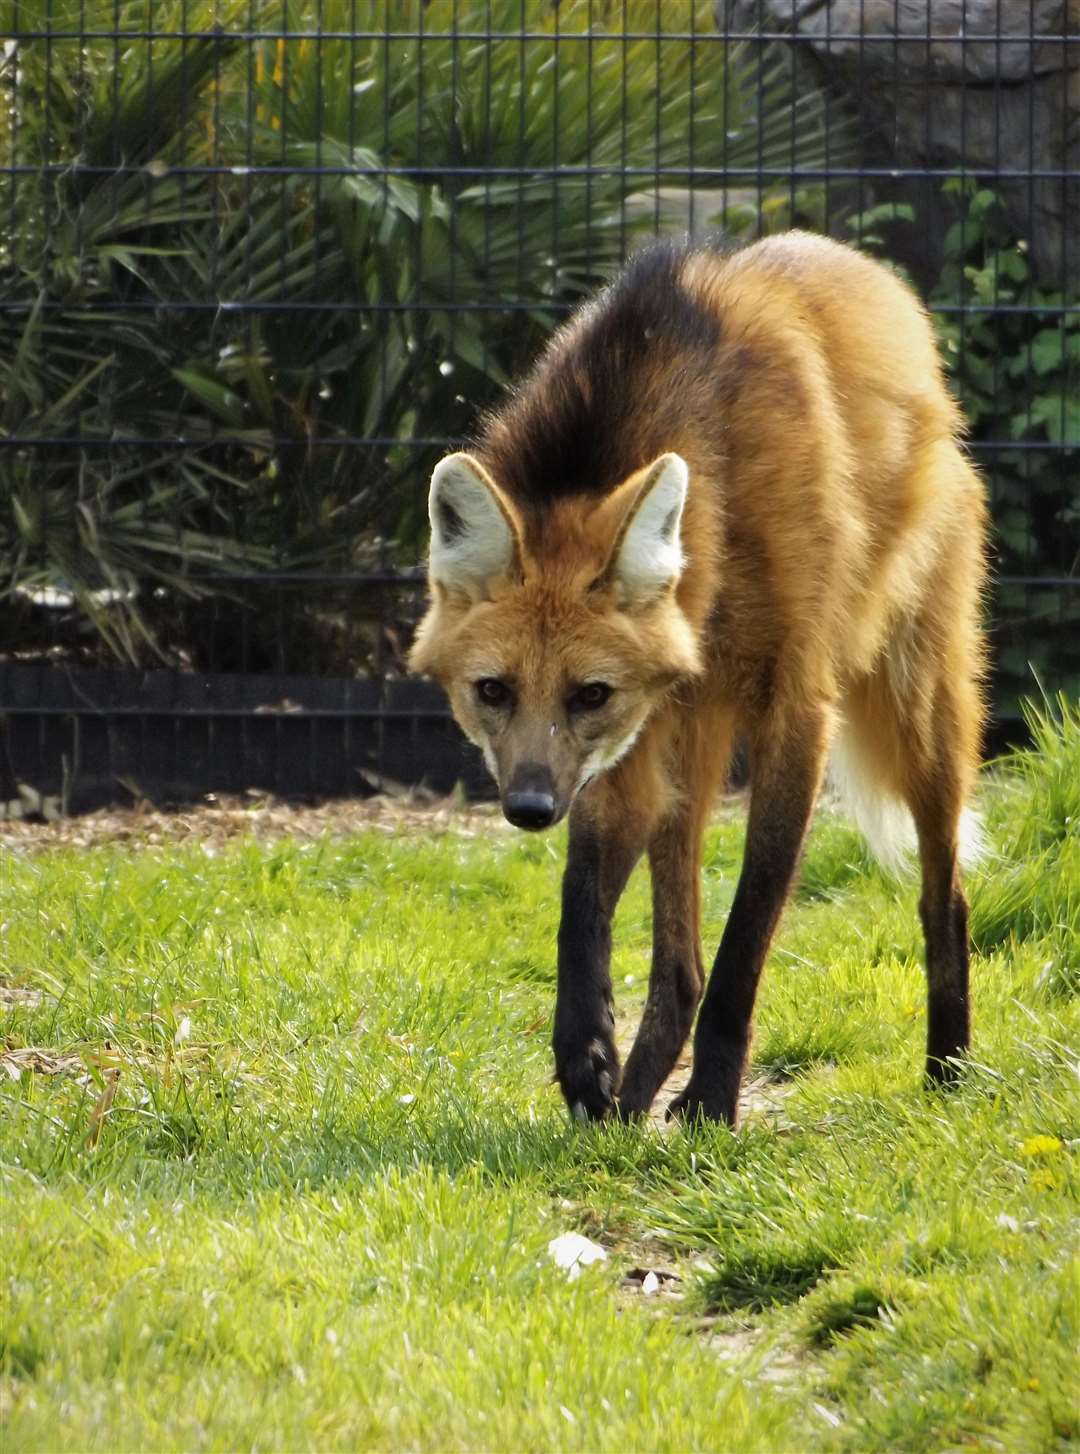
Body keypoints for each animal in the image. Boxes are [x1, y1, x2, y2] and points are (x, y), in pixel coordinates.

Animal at [406, 235, 988, 1122]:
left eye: (590, 693)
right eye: (493, 690)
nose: (530, 808)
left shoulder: (795, 711)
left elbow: (748, 927)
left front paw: (712, 1099)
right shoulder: (625, 749)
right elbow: (581, 902)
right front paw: (586, 1060)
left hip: (917, 706)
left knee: (943, 890)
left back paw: (948, 1068)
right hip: (690, 736)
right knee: (679, 965)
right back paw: (629, 1104)